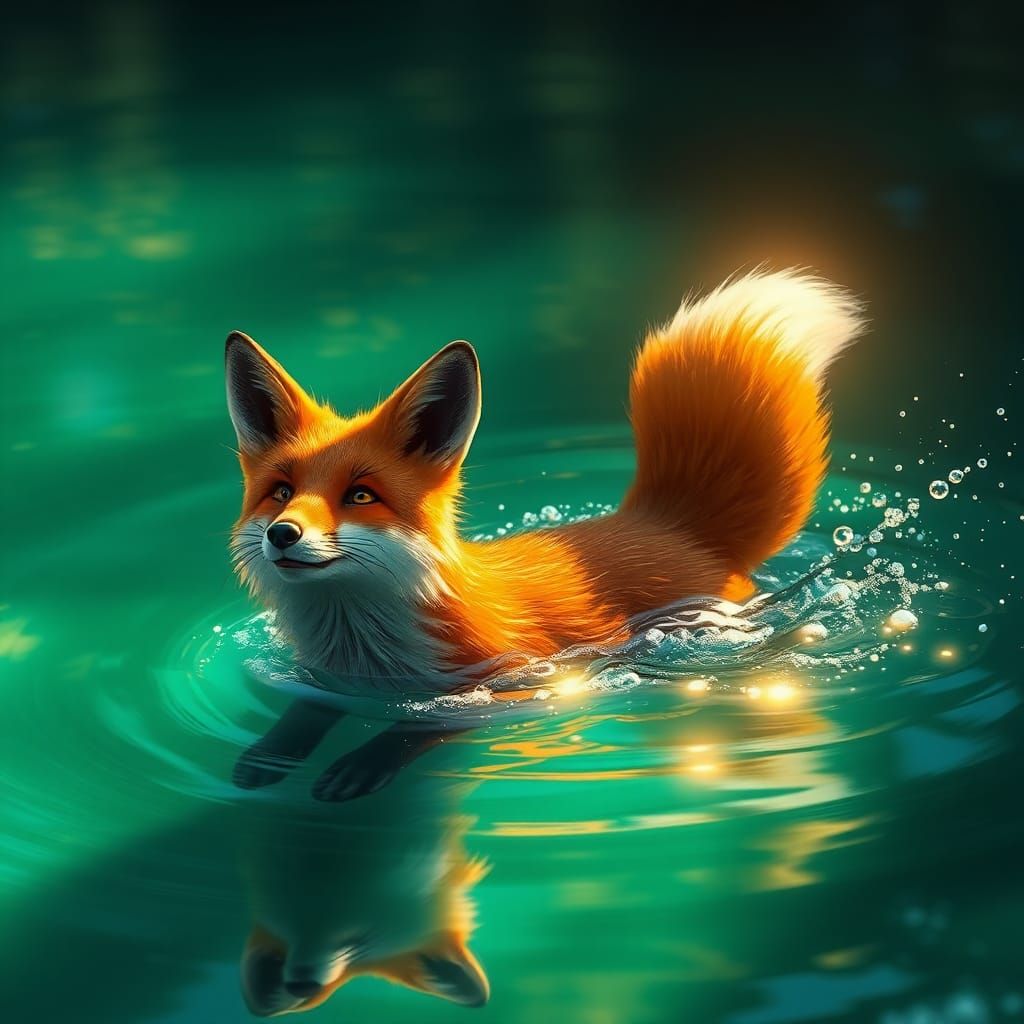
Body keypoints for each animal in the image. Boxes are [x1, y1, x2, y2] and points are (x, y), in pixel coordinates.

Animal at [226, 269, 863, 799]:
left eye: (360, 495)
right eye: (281, 491)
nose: (283, 534)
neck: (365, 649)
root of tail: (666, 519)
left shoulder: (505, 691)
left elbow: (411, 730)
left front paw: (364, 763)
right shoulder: (325, 681)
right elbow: (304, 715)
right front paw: (274, 754)